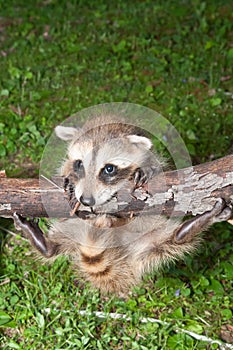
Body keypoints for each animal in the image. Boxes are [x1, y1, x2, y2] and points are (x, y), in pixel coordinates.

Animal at [14, 116, 233, 294]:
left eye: (109, 169)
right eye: (79, 164)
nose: (86, 201)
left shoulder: (151, 157)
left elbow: (157, 168)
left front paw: (147, 170)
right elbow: (64, 169)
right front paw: (68, 179)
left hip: (145, 239)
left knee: (169, 243)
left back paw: (189, 229)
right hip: (73, 230)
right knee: (58, 245)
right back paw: (45, 244)